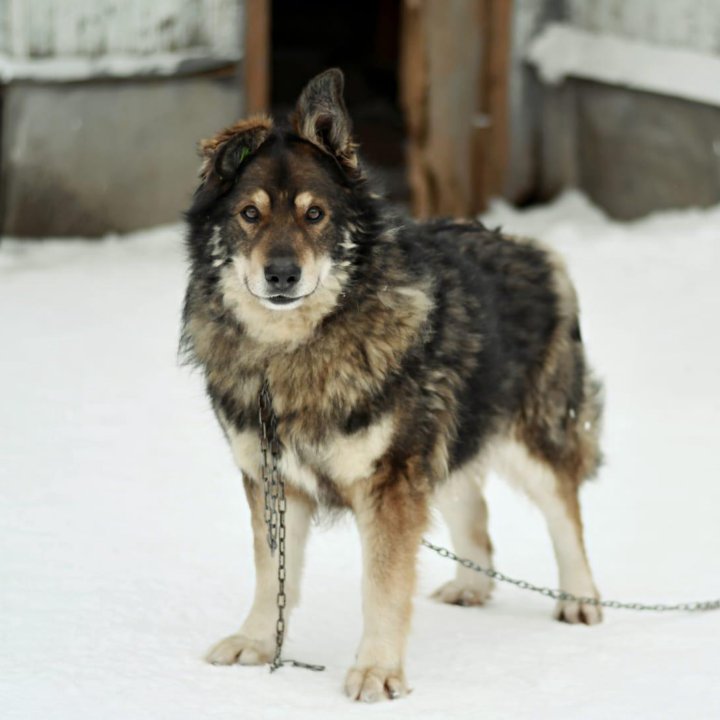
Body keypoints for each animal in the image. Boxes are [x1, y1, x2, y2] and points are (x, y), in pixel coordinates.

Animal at [180, 69, 600, 704]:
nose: (282, 275)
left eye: (315, 215)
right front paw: (255, 643)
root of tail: (538, 251)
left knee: (565, 513)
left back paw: (579, 599)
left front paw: (377, 671)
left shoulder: (389, 485)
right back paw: (471, 588)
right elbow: (270, 572)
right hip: (444, 444)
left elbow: (381, 588)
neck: (294, 353)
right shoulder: (273, 479)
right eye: (250, 214)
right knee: (475, 510)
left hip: (529, 442)